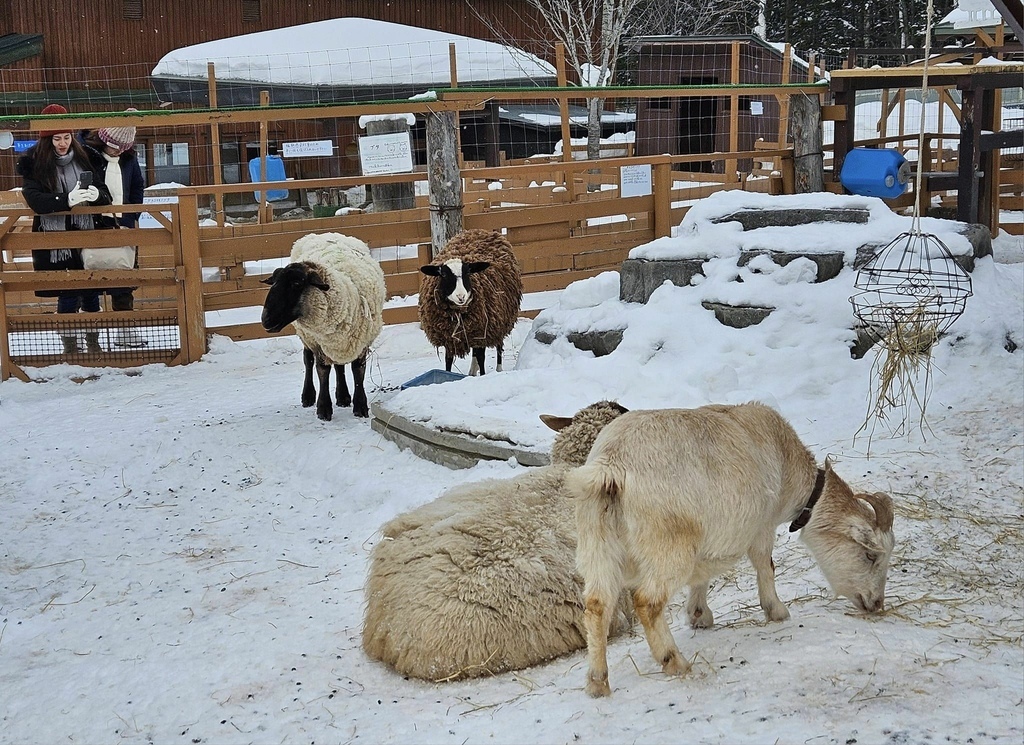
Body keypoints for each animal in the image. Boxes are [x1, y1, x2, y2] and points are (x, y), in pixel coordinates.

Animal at [262, 231, 385, 419]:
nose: (265, 320)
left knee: (339, 366)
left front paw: (360, 406)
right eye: (274, 282)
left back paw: (343, 396)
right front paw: (324, 408)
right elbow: (322, 370)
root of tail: (323, 233)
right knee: (308, 360)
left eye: (296, 284)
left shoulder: (361, 340)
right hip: (307, 337)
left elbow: (358, 370)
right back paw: (308, 396)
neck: (347, 296)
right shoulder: (318, 342)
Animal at [419, 228, 524, 378]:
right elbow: (448, 361)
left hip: (499, 319)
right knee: (475, 351)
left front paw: (483, 375)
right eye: (443, 275)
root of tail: (480, 231)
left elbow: (481, 358)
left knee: (498, 346)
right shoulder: (450, 339)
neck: (458, 315)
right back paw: (473, 371)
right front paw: (447, 376)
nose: (461, 296)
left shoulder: (482, 331)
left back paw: (498, 369)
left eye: (467, 273)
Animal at [569, 401, 897, 699]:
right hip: (668, 545)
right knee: (647, 602)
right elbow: (766, 565)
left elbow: (701, 575)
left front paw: (699, 615)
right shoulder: (762, 525)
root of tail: (612, 465)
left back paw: (597, 682)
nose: (876, 604)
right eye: (871, 555)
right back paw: (674, 661)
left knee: (596, 606)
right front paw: (777, 611)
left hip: (597, 542)